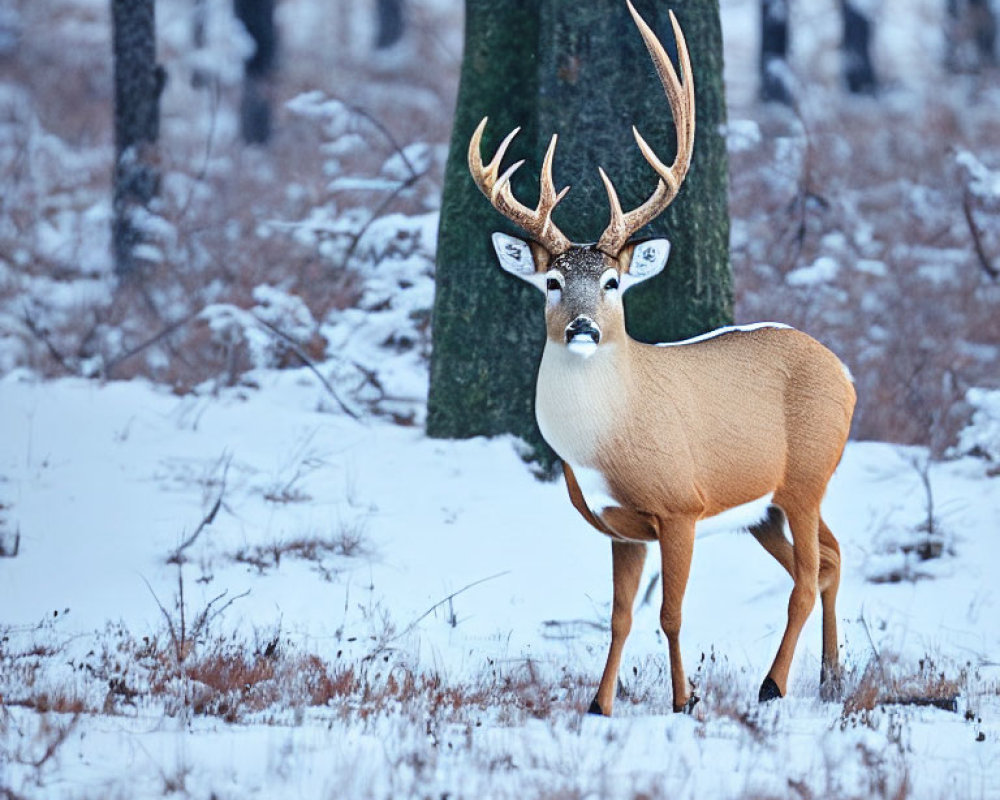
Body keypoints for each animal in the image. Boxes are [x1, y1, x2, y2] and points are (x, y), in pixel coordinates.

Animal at [464, 0, 856, 712]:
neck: (605, 441)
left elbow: (670, 613)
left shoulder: (682, 506)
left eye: (613, 282)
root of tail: (842, 369)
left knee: (807, 576)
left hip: (808, 474)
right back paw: (831, 677)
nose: (583, 328)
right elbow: (619, 615)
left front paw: (683, 700)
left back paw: (774, 685)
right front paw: (599, 705)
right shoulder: (619, 527)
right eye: (552, 282)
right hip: (765, 505)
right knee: (831, 560)